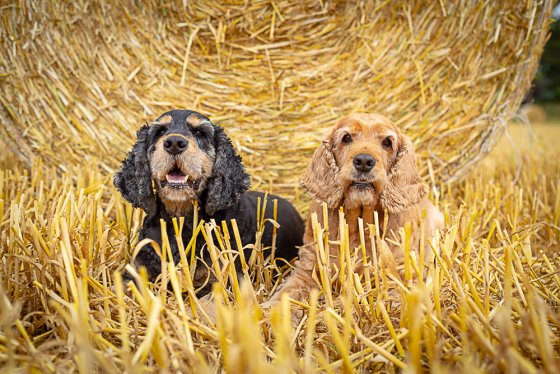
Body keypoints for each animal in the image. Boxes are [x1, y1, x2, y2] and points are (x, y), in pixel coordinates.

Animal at [114, 109, 304, 296]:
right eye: (160, 131)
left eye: (200, 133)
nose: (174, 142)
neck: (181, 220)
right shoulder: (135, 272)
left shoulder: (225, 281)